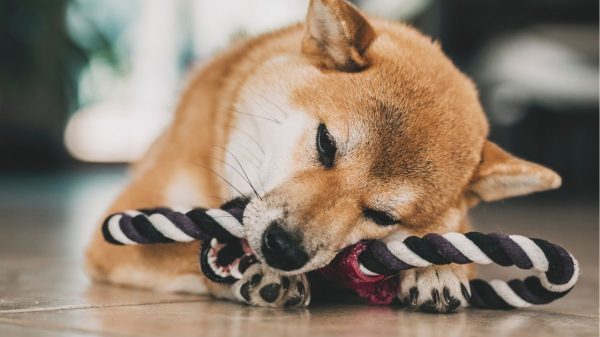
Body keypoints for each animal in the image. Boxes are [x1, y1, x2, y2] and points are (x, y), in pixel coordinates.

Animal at [85, 0, 564, 312]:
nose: (283, 250)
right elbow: (182, 251)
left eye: (384, 217)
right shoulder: (117, 228)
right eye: (326, 143)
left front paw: (440, 268)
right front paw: (260, 274)